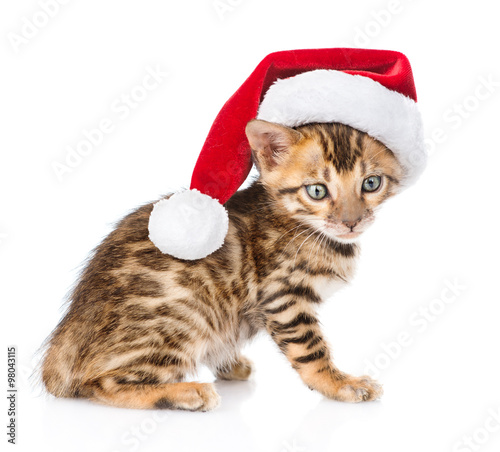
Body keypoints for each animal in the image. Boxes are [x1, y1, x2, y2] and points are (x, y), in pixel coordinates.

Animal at [41, 119, 404, 410]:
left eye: (371, 183)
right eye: (317, 190)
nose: (351, 222)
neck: (298, 224)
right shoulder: (283, 296)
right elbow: (311, 351)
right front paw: (341, 384)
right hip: (183, 316)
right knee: (101, 383)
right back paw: (184, 393)